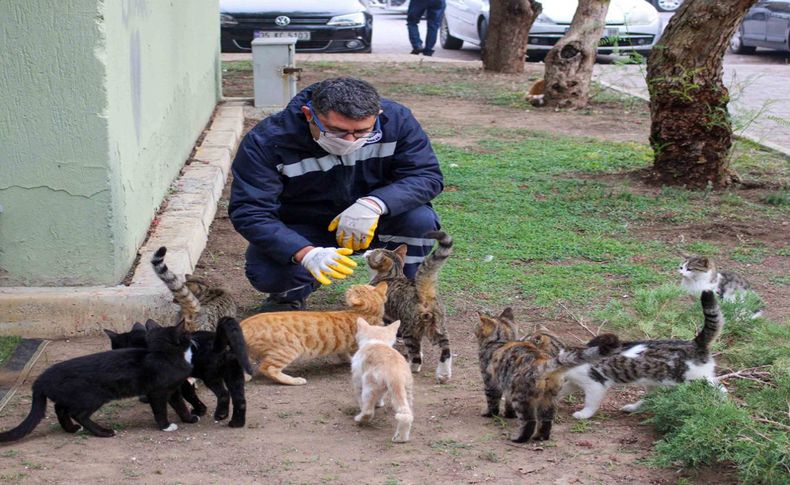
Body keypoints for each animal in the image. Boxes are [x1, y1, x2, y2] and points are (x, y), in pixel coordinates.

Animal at [0, 320, 196, 440]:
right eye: (186, 333)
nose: (192, 336)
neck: (164, 355)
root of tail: (41, 378)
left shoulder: (173, 389)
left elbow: (180, 405)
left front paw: (188, 418)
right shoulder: (157, 392)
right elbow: (160, 410)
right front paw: (165, 426)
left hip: (71, 396)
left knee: (60, 409)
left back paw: (71, 429)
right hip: (94, 396)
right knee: (77, 414)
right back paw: (104, 432)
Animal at [105, 316, 254, 426]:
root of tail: (220, 343)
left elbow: (184, 398)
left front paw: (196, 413)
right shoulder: (182, 381)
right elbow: (190, 394)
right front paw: (200, 410)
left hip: (210, 376)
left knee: (223, 394)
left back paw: (221, 414)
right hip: (234, 375)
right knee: (240, 399)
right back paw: (236, 423)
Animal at [241, 282, 390, 384]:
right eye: (353, 288)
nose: (351, 285)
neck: (367, 313)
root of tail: (244, 323)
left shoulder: (345, 347)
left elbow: (344, 354)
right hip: (288, 350)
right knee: (268, 368)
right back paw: (295, 380)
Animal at [366, 230, 452, 382]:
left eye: (372, 254)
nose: (367, 250)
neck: (392, 275)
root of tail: (423, 293)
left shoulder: (385, 317)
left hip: (409, 329)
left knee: (416, 358)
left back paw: (411, 367)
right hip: (437, 328)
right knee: (446, 350)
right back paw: (444, 374)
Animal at [548, 290, 728, 418]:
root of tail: (695, 343)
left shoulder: (595, 384)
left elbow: (590, 404)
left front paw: (583, 414)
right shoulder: (575, 382)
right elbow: (563, 390)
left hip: (694, 379)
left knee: (720, 388)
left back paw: (724, 404)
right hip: (657, 383)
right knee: (650, 399)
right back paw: (632, 408)